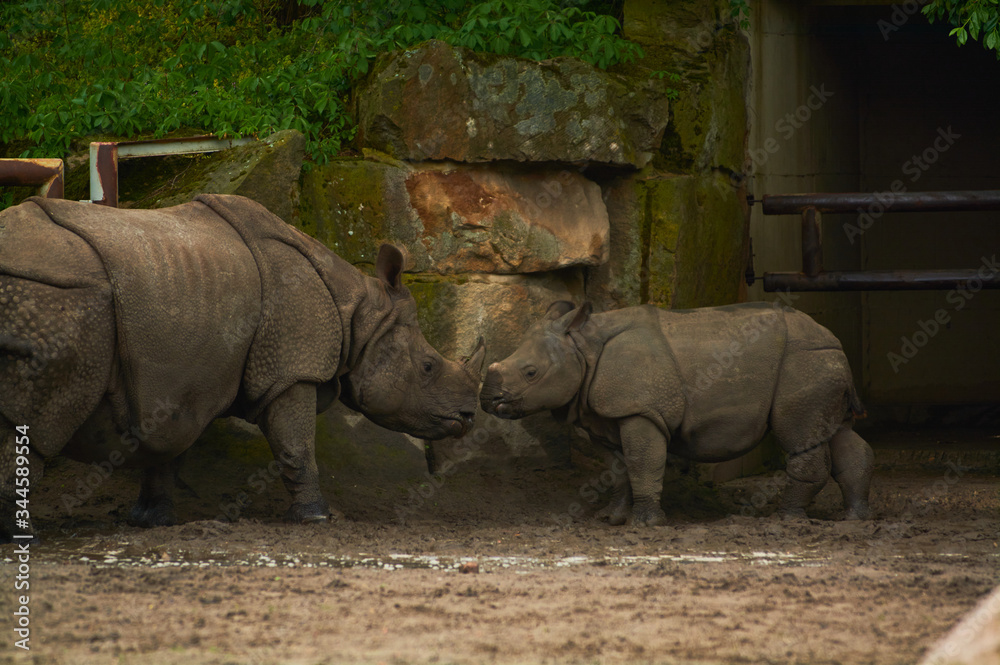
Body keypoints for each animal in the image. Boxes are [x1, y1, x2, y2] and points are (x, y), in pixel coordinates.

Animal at [0, 195, 484, 541]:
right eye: (428, 366)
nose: (468, 417)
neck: (359, 312)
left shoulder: (182, 383)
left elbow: (166, 448)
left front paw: (152, 521)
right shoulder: (290, 369)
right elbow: (296, 445)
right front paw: (316, 519)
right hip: (59, 300)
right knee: (35, 424)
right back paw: (21, 537)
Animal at [480, 301, 873, 526]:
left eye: (531, 373)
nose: (487, 399)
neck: (582, 347)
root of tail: (833, 340)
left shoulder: (640, 410)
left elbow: (642, 463)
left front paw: (648, 524)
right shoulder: (606, 414)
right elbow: (618, 470)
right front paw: (612, 519)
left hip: (802, 361)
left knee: (801, 436)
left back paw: (787, 521)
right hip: (819, 361)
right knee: (837, 433)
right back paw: (853, 521)